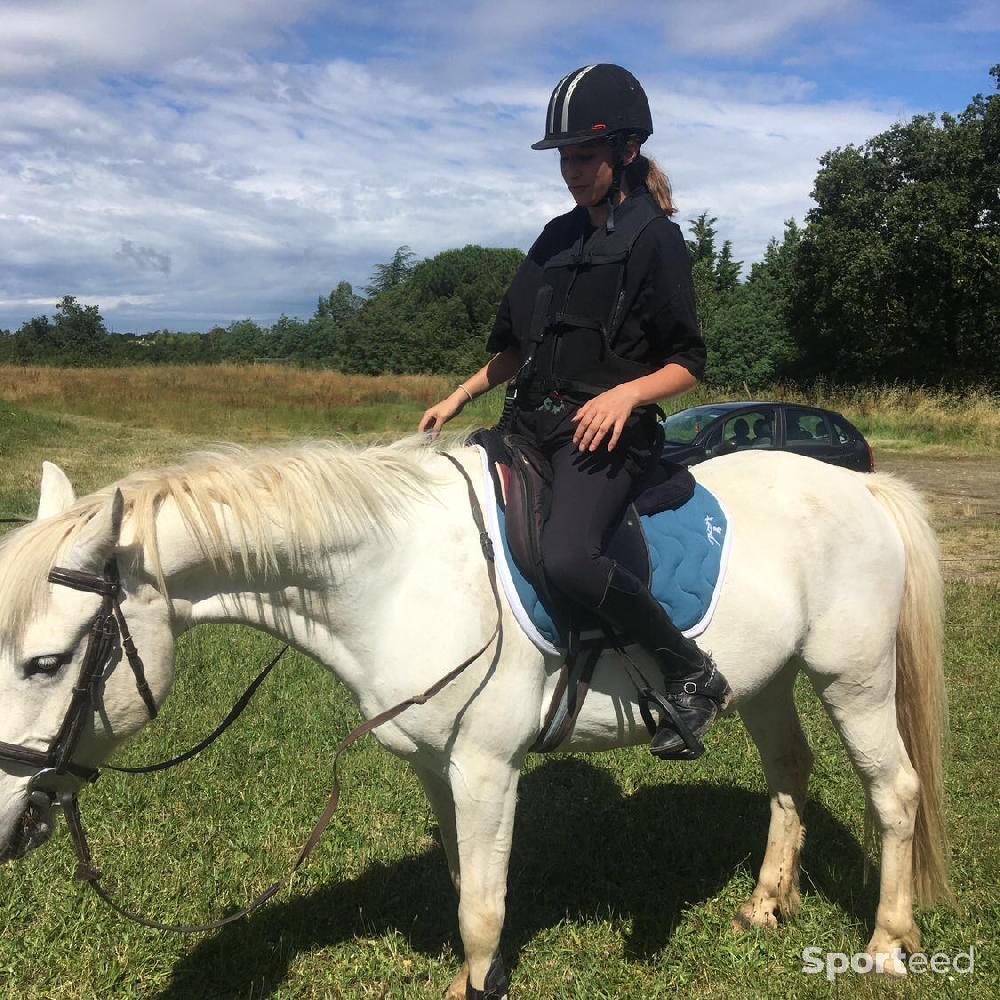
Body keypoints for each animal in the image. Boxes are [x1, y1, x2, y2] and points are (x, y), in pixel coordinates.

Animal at [0, 442, 944, 996]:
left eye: (46, 663)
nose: (9, 820)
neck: (393, 574)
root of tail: (863, 483)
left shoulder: (488, 765)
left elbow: (484, 907)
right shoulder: (435, 765)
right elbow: (465, 885)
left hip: (853, 677)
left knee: (895, 791)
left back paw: (887, 945)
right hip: (767, 679)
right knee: (789, 774)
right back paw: (766, 904)